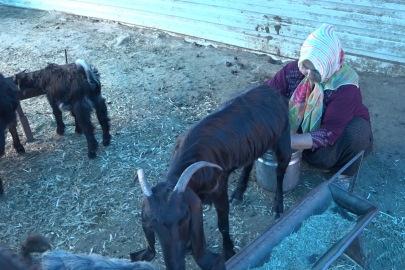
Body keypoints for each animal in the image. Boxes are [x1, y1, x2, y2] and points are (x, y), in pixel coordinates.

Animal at [131, 83, 292, 268]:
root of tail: (272, 90)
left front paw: (229, 252)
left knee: (280, 171)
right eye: (152, 226)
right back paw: (238, 193)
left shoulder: (219, 190)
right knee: (249, 163)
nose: (175, 265)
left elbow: (223, 225)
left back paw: (278, 207)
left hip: (283, 139)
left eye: (184, 219)